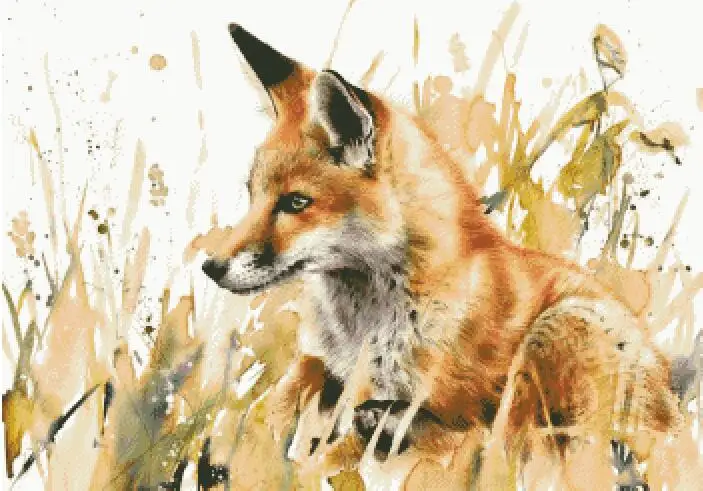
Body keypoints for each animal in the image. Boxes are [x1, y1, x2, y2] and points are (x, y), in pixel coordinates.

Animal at [200, 23, 683, 472]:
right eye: (253, 195)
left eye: (296, 203)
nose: (211, 267)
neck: (361, 325)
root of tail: (678, 416)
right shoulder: (322, 361)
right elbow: (274, 402)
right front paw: (236, 445)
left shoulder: (419, 394)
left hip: (558, 331)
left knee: (512, 447)